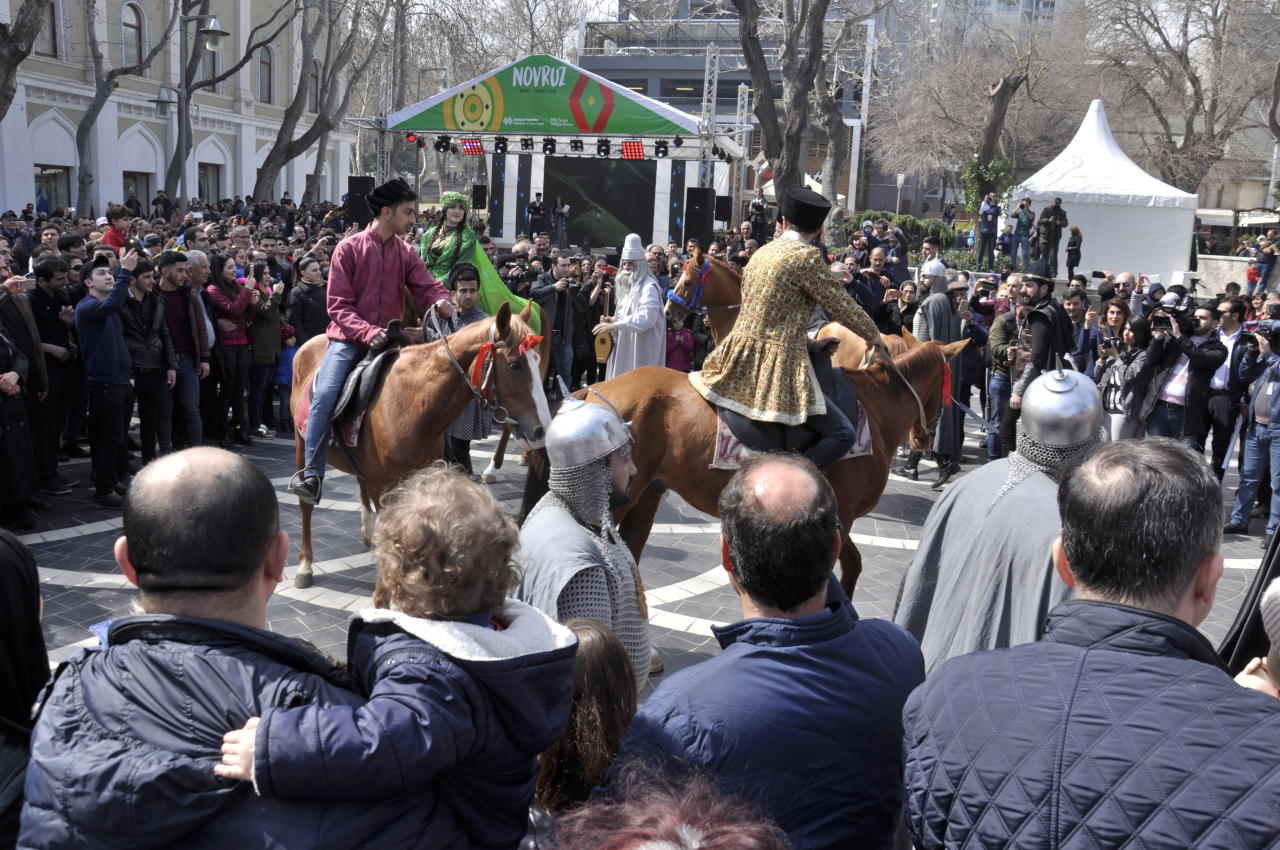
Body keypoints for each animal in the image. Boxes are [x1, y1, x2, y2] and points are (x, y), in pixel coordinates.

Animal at [290, 302, 550, 588]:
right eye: (514, 365)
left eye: (538, 363)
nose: (541, 430)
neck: (412, 403)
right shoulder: (385, 488)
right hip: (302, 444)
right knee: (306, 504)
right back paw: (305, 564)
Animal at [524, 335, 962, 601]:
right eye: (947, 381)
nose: (925, 440)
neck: (872, 408)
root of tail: (592, 389)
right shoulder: (844, 516)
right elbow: (844, 568)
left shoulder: (841, 519)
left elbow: (850, 565)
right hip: (616, 500)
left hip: (645, 496)